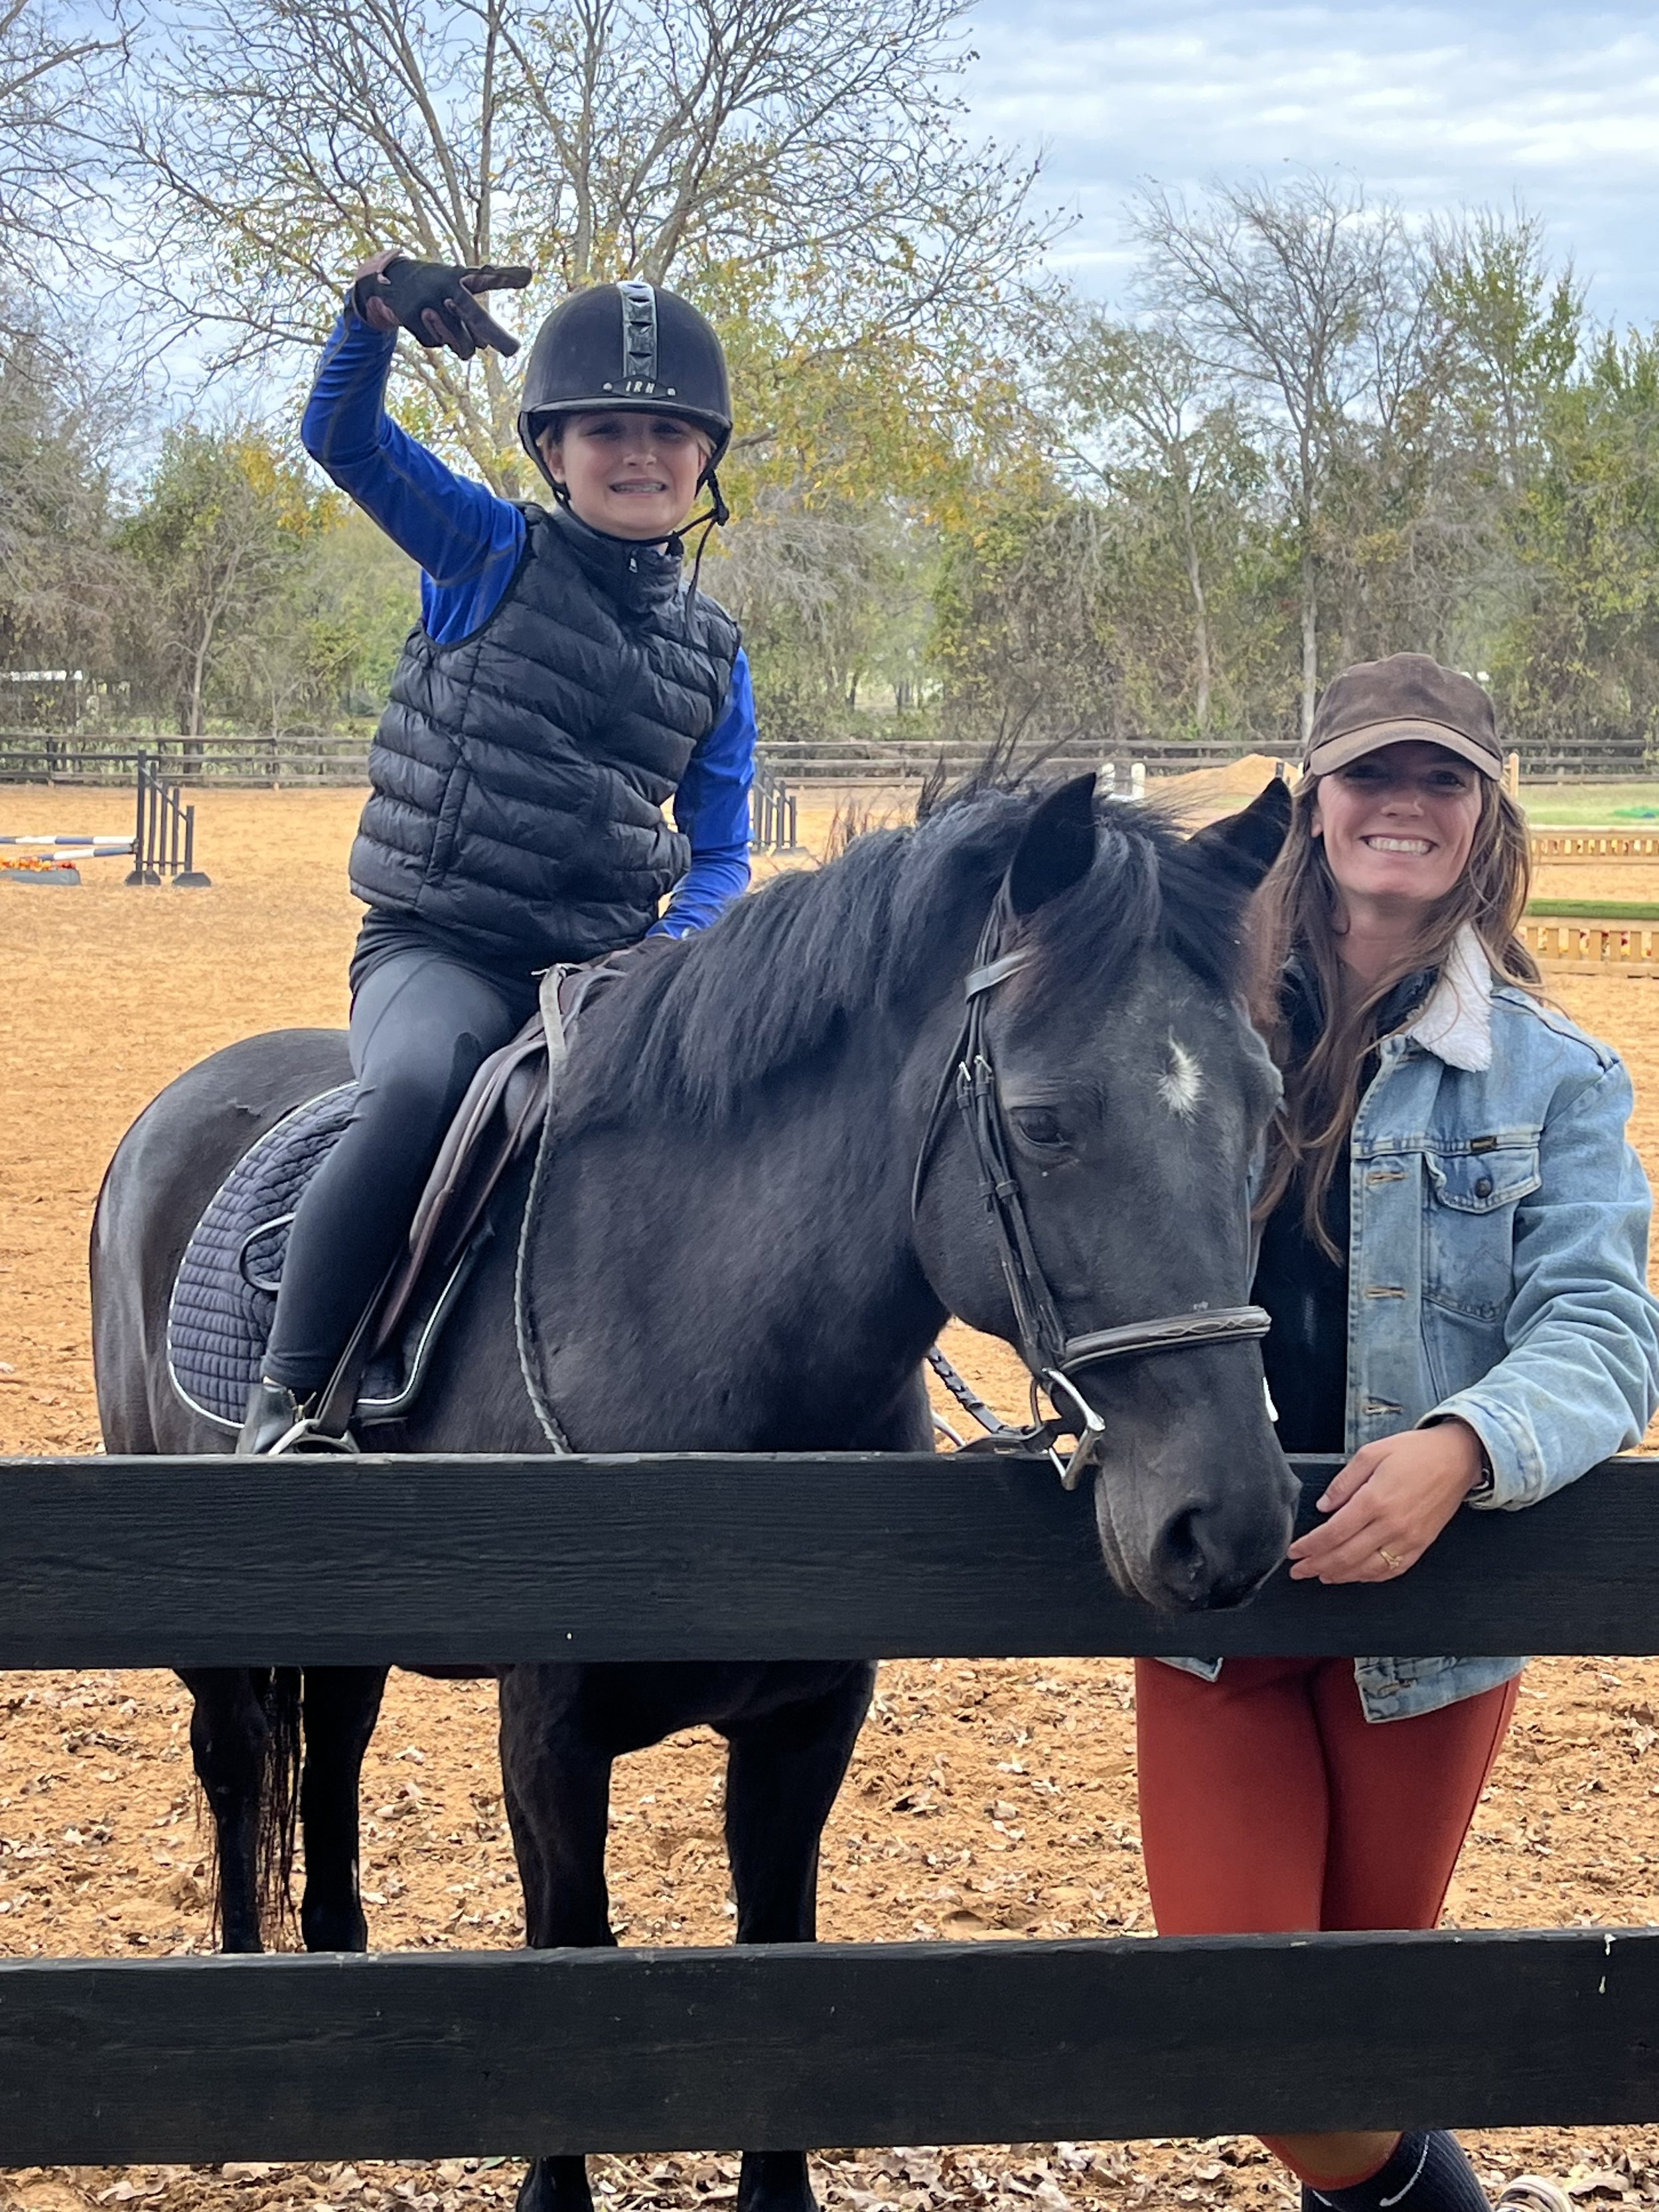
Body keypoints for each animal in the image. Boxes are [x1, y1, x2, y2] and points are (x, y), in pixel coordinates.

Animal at [91, 770, 1299, 2212]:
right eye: (1046, 1121)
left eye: (1264, 1108)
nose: (1227, 1518)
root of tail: (169, 1114)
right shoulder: (548, 1738)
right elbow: (574, 1954)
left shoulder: (804, 1729)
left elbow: (773, 1958)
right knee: (236, 1763)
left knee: (331, 1749)